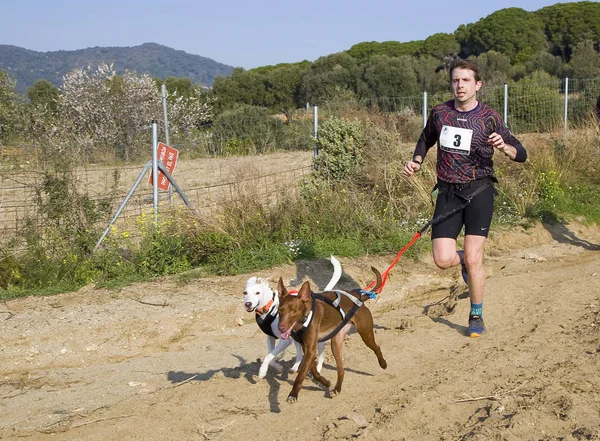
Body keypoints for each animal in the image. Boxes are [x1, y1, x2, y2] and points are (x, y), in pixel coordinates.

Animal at [278, 264, 386, 402]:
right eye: (280, 310)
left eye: (294, 311)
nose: (281, 327)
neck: (304, 319)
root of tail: (360, 298)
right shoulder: (307, 348)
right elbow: (313, 370)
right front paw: (324, 381)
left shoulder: (310, 350)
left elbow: (301, 374)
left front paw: (293, 394)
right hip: (336, 342)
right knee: (341, 370)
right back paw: (337, 389)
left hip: (365, 334)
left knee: (376, 347)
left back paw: (383, 363)